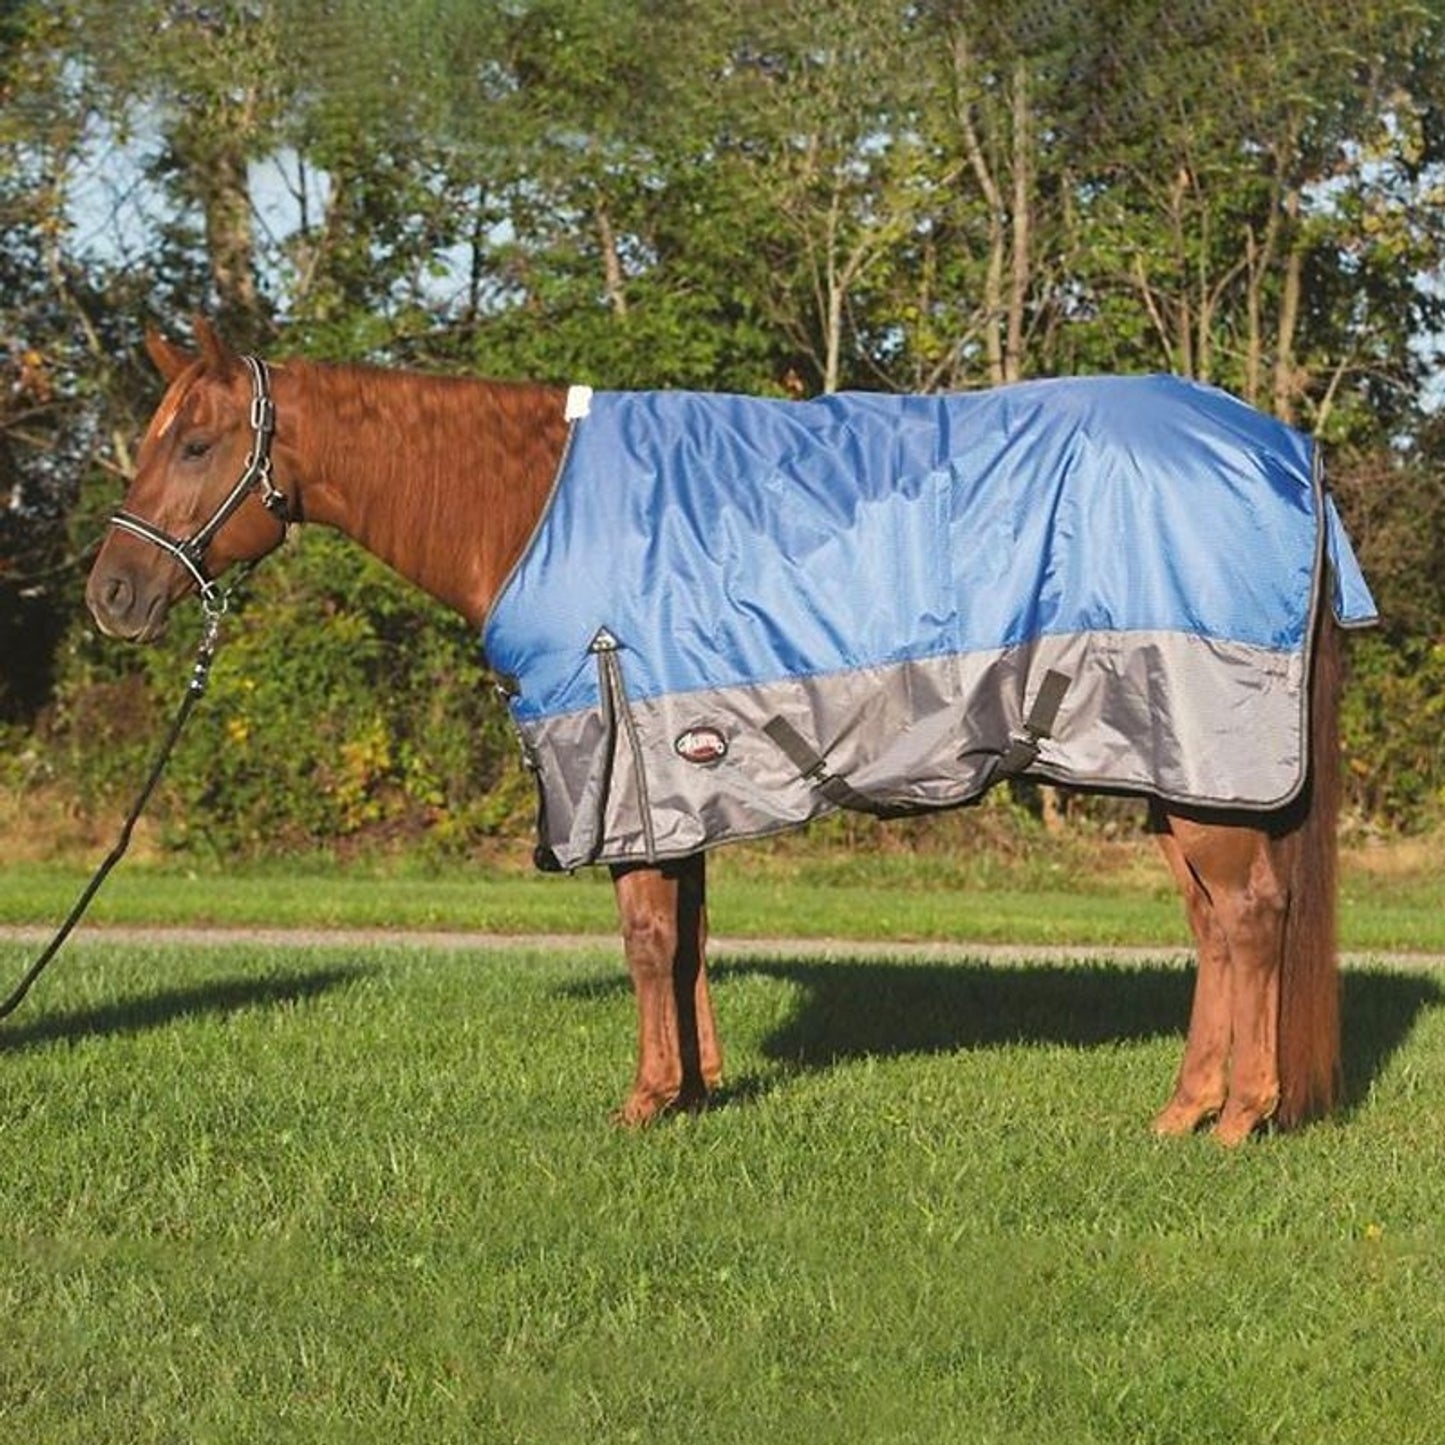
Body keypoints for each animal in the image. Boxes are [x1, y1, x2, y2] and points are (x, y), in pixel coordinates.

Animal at [86, 317, 1352, 1145]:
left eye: (194, 444)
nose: (111, 594)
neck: (530, 507)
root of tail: (1286, 451)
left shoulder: (618, 761)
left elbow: (648, 938)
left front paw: (644, 1103)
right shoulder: (675, 767)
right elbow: (685, 936)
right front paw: (694, 1088)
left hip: (1204, 765)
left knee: (1248, 918)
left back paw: (1237, 1118)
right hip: (1173, 767)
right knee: (1214, 923)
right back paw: (1183, 1108)